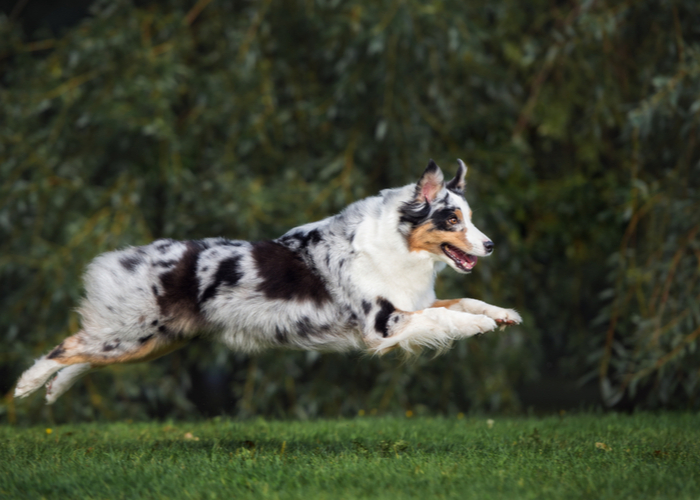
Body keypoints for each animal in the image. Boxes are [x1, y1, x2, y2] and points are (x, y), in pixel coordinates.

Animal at [13, 159, 524, 402]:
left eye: (469, 217)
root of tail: (125, 257)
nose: (491, 244)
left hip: (152, 340)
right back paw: (27, 385)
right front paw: (479, 328)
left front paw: (502, 315)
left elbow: (463, 301)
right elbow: (447, 321)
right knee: (66, 346)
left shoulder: (412, 304)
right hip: (134, 333)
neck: (398, 248)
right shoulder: (384, 325)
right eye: (452, 219)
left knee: (85, 352)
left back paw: (55, 389)